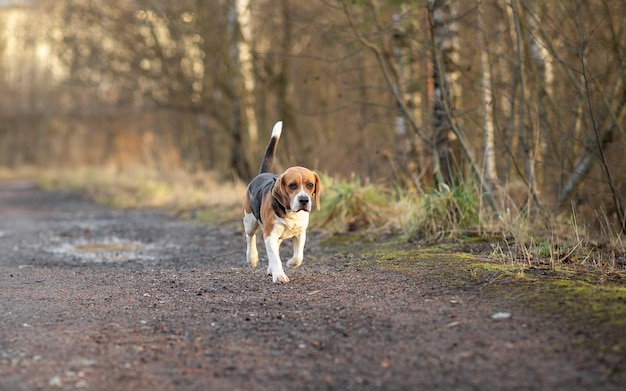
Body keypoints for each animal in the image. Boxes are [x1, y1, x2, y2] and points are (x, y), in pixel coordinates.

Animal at [243, 121, 322, 284]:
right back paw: (252, 258)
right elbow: (275, 257)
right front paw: (279, 275)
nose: (304, 200)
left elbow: (298, 256)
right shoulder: (269, 235)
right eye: (292, 185)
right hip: (249, 220)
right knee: (250, 236)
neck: (290, 212)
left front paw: (290, 263)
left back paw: (270, 268)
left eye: (310, 185)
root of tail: (262, 174)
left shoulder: (300, 233)